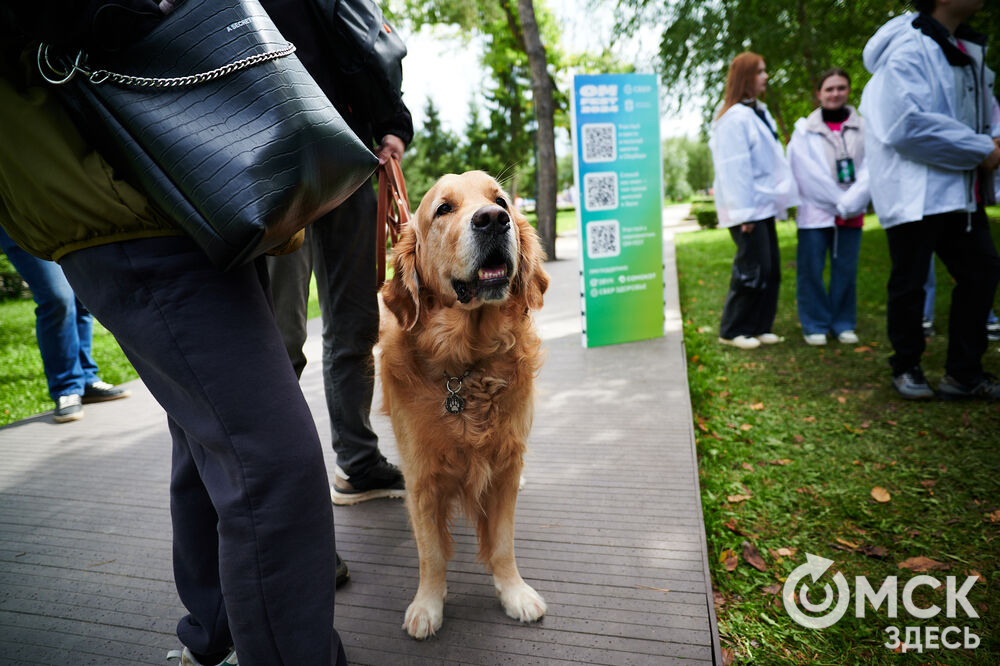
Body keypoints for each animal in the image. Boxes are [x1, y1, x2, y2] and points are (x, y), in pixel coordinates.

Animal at [378, 169, 552, 636]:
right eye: (443, 209)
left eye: (502, 201)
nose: (493, 220)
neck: (467, 367)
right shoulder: (422, 479)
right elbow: (432, 553)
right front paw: (427, 605)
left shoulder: (505, 467)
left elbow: (502, 544)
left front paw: (514, 592)